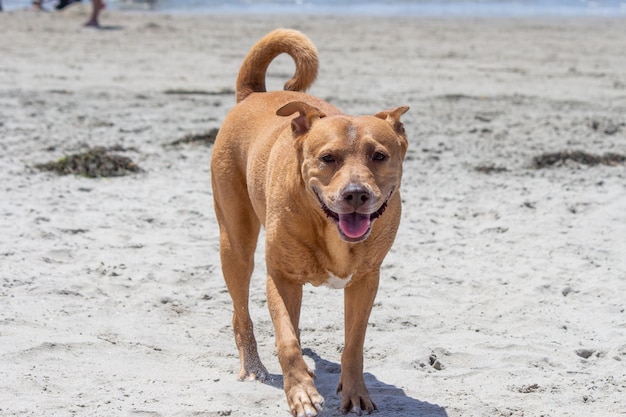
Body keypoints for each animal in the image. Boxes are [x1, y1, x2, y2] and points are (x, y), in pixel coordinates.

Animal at [208, 27, 404, 414]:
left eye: (379, 156)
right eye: (328, 158)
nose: (355, 194)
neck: (329, 228)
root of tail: (253, 95)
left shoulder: (365, 281)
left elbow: (354, 344)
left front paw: (355, 393)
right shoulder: (280, 276)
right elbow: (286, 340)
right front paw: (301, 392)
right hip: (235, 243)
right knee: (243, 311)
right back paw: (253, 367)